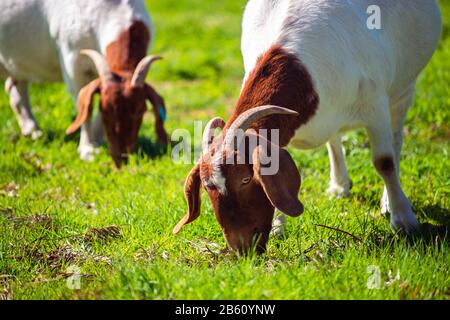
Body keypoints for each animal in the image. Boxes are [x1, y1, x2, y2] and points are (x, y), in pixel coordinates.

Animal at [0, 0, 169, 168]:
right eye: (107, 110)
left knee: (15, 84)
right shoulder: (72, 64)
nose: (121, 158)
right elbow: (86, 107)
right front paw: (88, 150)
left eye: (141, 111)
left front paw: (97, 139)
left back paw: (32, 130)